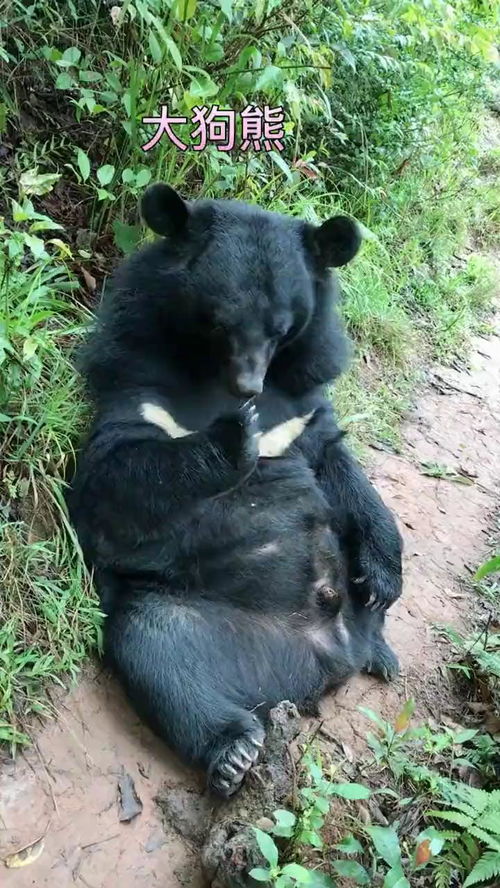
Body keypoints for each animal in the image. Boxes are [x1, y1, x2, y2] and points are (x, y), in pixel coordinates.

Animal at [68, 184, 402, 797]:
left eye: (282, 327)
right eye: (217, 321)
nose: (247, 386)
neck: (206, 371)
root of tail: (328, 653)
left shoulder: (302, 403)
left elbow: (339, 465)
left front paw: (385, 577)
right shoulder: (136, 376)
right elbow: (112, 479)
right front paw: (234, 436)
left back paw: (382, 648)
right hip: (188, 615)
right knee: (157, 651)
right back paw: (234, 751)